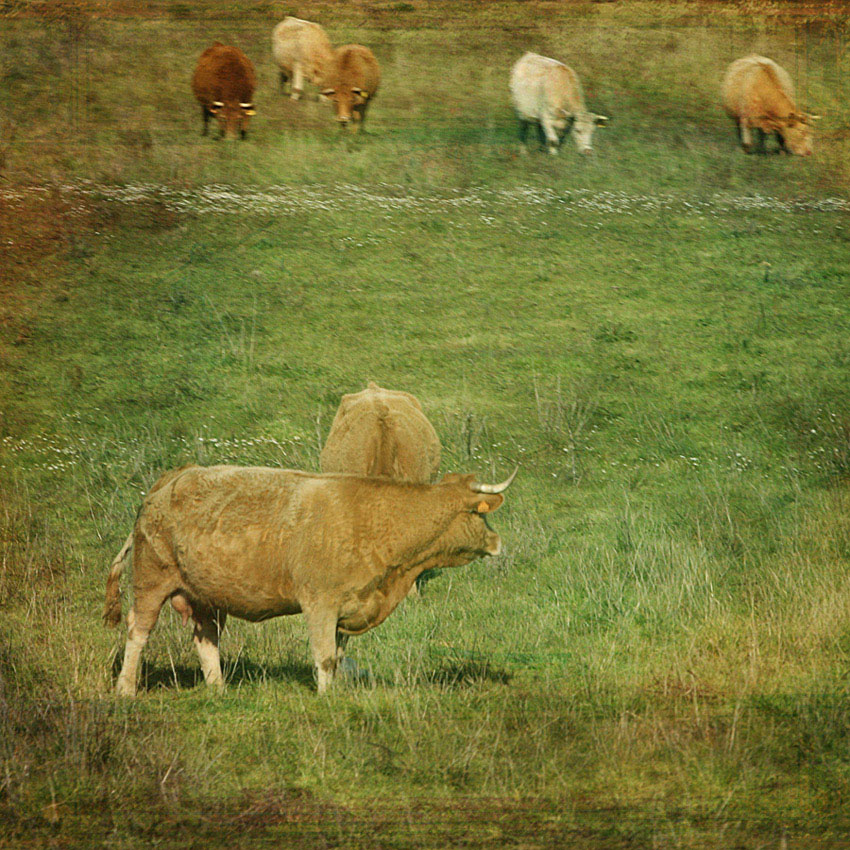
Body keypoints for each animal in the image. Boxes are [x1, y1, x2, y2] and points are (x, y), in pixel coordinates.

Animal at [106, 460, 516, 692]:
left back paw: (218, 690)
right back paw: (126, 689)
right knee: (138, 631)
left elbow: (337, 655)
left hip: (204, 594)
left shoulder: (349, 607)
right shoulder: (320, 603)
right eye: (479, 514)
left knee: (206, 638)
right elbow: (325, 657)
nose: (497, 541)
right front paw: (324, 701)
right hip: (151, 580)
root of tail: (171, 479)